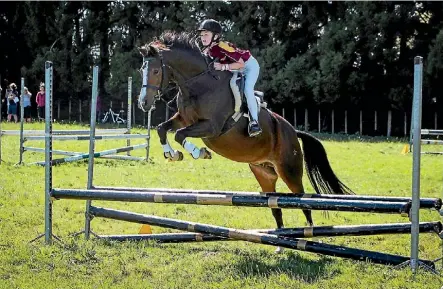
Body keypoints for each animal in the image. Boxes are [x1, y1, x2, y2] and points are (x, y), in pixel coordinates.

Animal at [139, 31, 354, 246]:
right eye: (142, 70)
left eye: (156, 71)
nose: (143, 103)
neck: (199, 85)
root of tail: (293, 131)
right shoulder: (183, 119)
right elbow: (162, 129)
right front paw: (172, 154)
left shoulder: (212, 127)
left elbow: (179, 134)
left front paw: (199, 152)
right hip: (264, 174)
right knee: (275, 205)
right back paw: (280, 243)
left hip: (290, 171)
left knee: (302, 202)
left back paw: (307, 234)